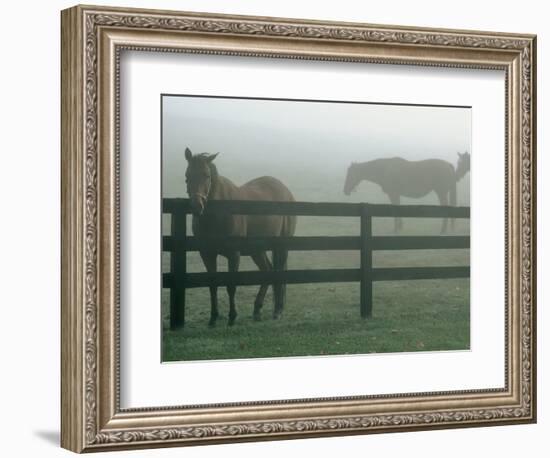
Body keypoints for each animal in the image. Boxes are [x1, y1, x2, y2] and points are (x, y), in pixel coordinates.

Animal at [185, 147, 298, 326]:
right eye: (187, 175)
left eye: (206, 175)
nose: (197, 206)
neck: (219, 213)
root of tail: (286, 191)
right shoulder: (207, 253)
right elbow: (212, 285)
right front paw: (213, 318)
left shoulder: (233, 254)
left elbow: (231, 285)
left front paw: (232, 317)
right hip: (257, 250)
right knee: (267, 270)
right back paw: (257, 310)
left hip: (281, 247)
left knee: (278, 273)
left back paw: (277, 311)